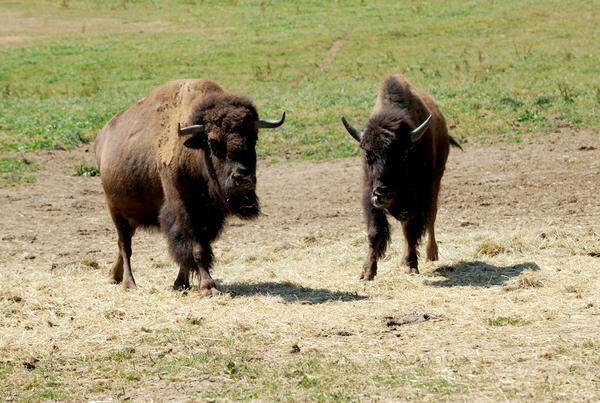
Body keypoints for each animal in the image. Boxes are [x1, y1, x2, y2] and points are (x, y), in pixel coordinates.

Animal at [94, 79, 286, 296]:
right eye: (213, 142)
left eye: (254, 138)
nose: (243, 178)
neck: (195, 150)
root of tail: (102, 138)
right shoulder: (184, 208)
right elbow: (195, 247)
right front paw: (208, 286)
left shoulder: (210, 215)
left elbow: (197, 247)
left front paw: (181, 284)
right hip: (116, 211)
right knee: (125, 245)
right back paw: (129, 283)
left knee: (123, 245)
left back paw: (114, 276)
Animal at [340, 72, 462, 280]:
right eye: (368, 154)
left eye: (403, 154)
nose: (383, 193)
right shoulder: (369, 195)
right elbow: (375, 232)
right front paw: (367, 272)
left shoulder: (418, 197)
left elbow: (412, 229)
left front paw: (411, 266)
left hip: (435, 185)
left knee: (430, 218)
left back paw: (431, 254)